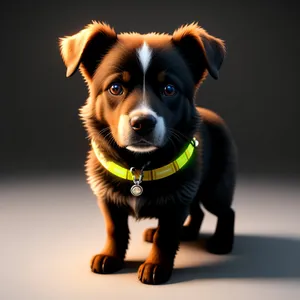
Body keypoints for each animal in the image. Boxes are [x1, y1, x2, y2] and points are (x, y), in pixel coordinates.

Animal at [58, 20, 237, 284]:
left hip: (215, 187)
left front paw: (156, 266)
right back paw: (188, 232)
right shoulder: (107, 197)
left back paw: (221, 242)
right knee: (197, 211)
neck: (139, 164)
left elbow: (166, 236)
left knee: (226, 211)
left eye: (169, 89)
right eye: (115, 88)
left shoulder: (177, 201)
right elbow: (115, 229)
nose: (142, 123)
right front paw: (110, 256)